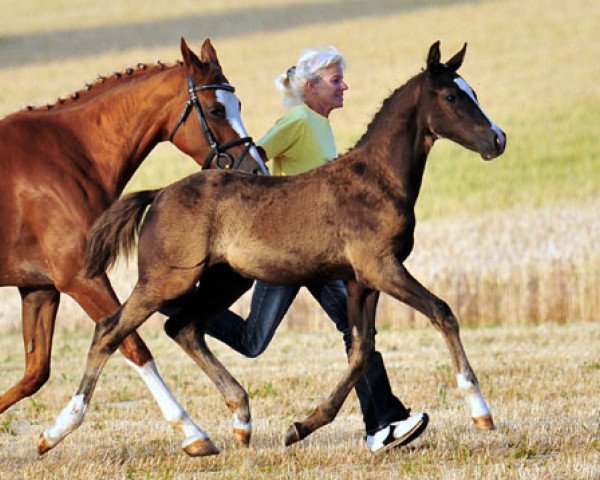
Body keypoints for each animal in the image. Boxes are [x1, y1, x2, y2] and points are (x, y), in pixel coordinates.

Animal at [0, 36, 268, 454]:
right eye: (215, 109)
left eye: (237, 104)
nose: (255, 168)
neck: (71, 155)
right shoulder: (82, 279)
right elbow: (131, 344)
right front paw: (193, 433)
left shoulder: (39, 288)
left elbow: (35, 372)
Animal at [39, 40, 504, 454]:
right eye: (451, 96)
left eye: (474, 92)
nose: (497, 140)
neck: (375, 179)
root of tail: (159, 193)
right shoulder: (381, 267)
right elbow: (442, 312)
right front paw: (480, 411)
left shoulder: (361, 281)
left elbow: (361, 351)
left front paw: (302, 427)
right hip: (167, 280)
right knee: (111, 329)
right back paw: (56, 433)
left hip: (226, 280)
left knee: (184, 327)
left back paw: (241, 420)